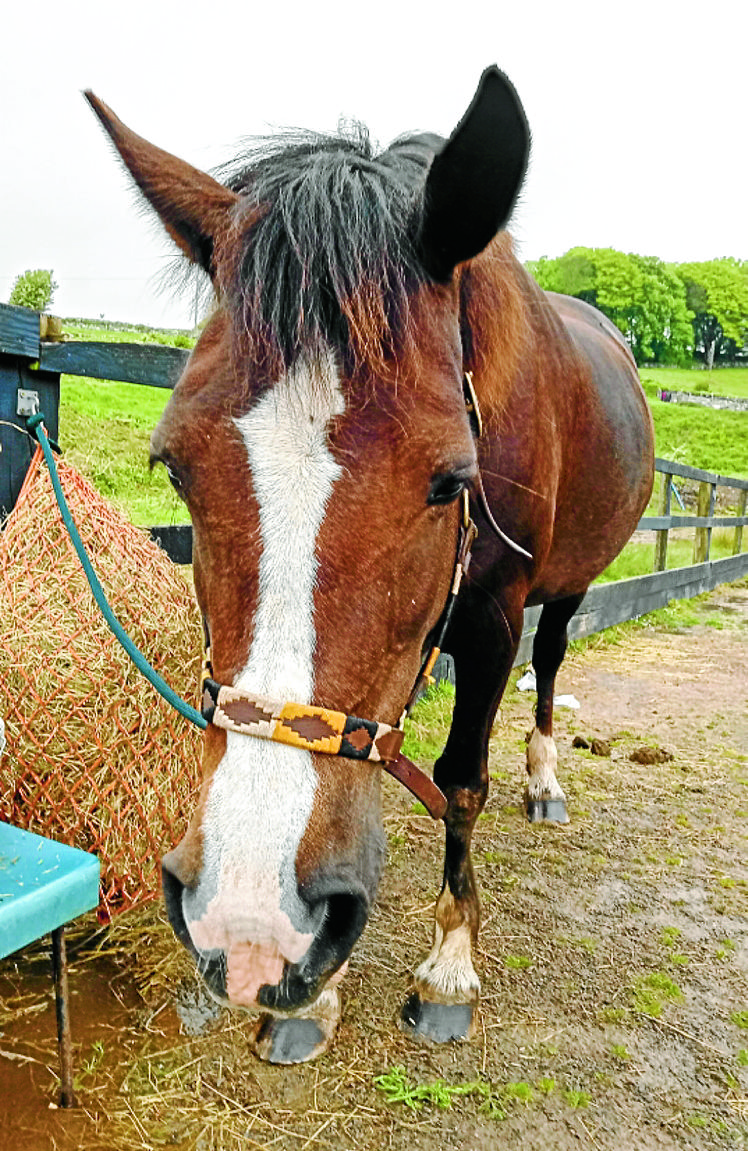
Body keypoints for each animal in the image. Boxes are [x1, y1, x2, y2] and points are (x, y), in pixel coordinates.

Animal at [86, 67, 654, 1064]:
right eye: (172, 467)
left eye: (450, 479)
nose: (246, 924)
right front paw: (313, 994)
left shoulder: (494, 621)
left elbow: (460, 780)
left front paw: (449, 965)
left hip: (567, 586)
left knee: (551, 665)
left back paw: (545, 781)